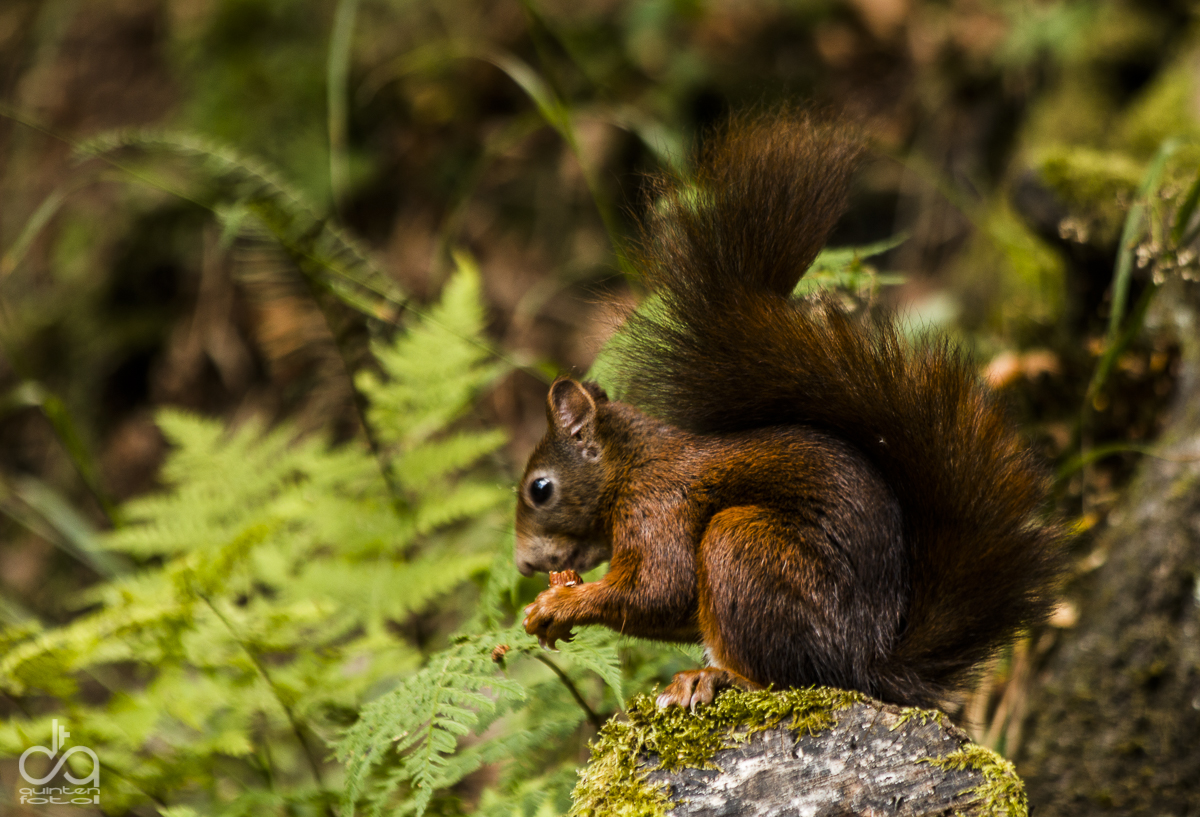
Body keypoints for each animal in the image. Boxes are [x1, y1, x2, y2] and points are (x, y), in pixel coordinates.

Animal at [511, 113, 1065, 705]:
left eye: (540, 489)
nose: (524, 565)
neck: (631, 467)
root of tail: (865, 665)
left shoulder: (658, 509)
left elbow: (659, 590)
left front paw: (559, 605)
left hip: (745, 548)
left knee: (781, 674)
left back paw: (715, 677)